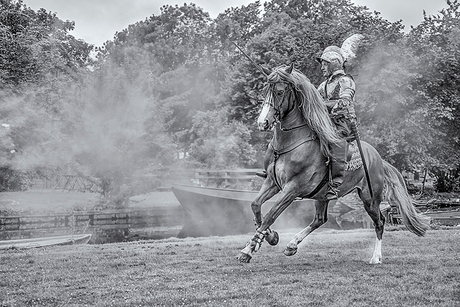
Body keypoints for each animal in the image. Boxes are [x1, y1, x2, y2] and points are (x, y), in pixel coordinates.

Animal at [237, 63, 432, 264]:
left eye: (280, 91)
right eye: (265, 91)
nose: (263, 122)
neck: (287, 144)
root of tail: (378, 158)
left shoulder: (292, 188)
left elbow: (270, 215)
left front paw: (249, 249)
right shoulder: (272, 182)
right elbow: (256, 206)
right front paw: (267, 237)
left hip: (370, 198)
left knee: (379, 222)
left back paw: (376, 257)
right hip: (322, 195)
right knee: (319, 220)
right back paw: (292, 245)